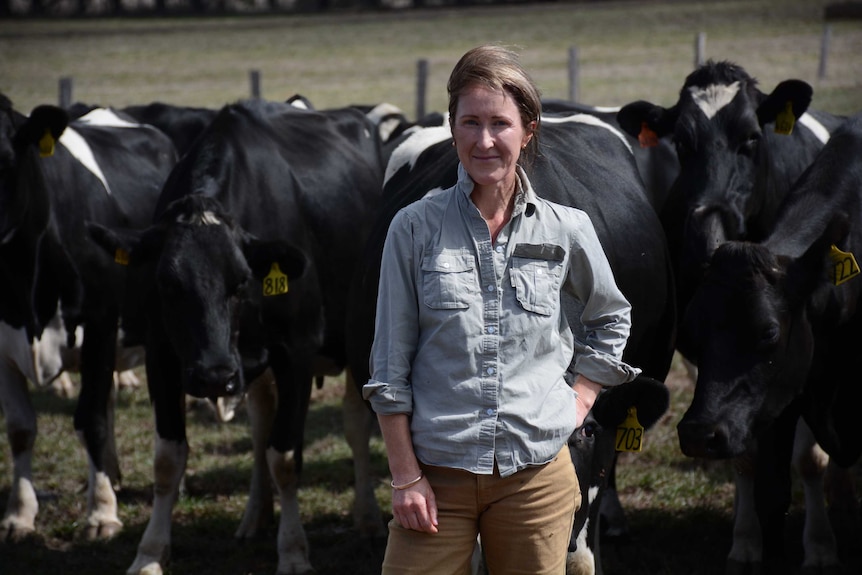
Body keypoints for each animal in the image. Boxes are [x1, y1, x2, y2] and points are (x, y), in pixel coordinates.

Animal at [0, 93, 177, 540]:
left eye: (5, 159)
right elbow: (20, 429)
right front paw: (19, 515)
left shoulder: (99, 321)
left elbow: (90, 420)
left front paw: (101, 514)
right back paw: (111, 474)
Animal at [88, 99, 384, 575]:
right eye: (167, 283)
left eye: (240, 281)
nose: (214, 376)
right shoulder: (162, 356)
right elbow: (168, 459)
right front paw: (149, 553)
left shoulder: (297, 352)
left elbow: (286, 456)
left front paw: (294, 551)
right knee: (261, 424)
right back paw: (255, 516)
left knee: (356, 425)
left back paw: (369, 517)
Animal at [680, 113, 862, 575]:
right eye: (692, 334)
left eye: (769, 333)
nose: (698, 433)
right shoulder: (786, 396)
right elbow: (766, 478)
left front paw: (820, 548)